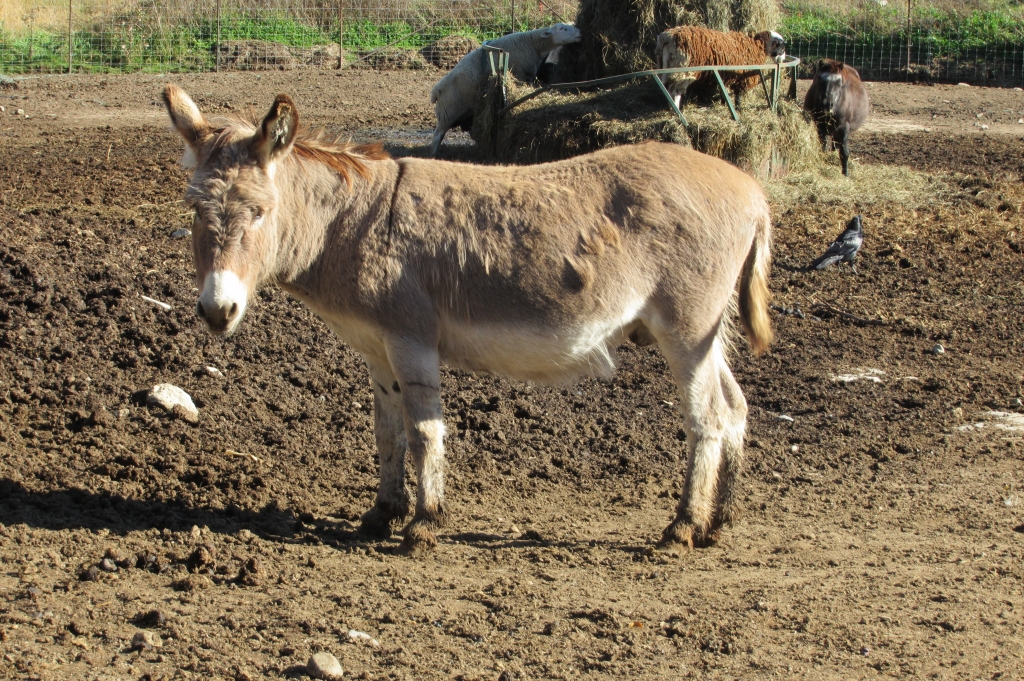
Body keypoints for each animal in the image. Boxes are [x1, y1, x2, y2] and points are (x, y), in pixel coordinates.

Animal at [161, 84, 773, 557]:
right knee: (736, 407)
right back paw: (719, 522)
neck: (352, 224)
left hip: (685, 328)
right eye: (194, 209)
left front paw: (423, 525)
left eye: (259, 212)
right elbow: (386, 431)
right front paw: (381, 514)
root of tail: (753, 188)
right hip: (706, 333)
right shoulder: (375, 348)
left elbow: (424, 430)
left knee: (707, 417)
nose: (216, 311)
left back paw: (683, 527)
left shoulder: (410, 339)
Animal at [429, 23, 582, 156]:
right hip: (448, 111)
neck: (533, 44)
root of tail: (436, 91)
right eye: (562, 29)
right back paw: (434, 155)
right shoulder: (521, 75)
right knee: (437, 135)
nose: (580, 33)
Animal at [655, 26, 786, 110]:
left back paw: (671, 108)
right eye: (781, 46)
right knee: (674, 91)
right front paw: (738, 108)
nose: (783, 58)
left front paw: (724, 104)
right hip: (683, 70)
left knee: (668, 89)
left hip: (667, 67)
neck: (758, 46)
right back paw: (676, 110)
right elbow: (738, 94)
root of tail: (667, 38)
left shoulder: (725, 75)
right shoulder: (742, 78)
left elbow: (724, 91)